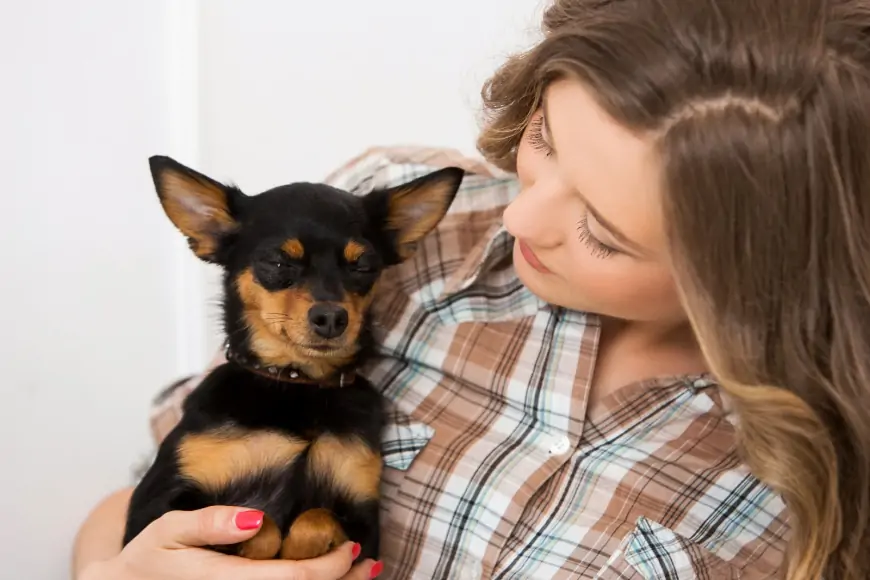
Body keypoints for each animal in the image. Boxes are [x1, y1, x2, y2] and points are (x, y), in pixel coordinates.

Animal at [123, 155, 466, 560]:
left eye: (364, 267)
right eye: (277, 263)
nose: (331, 317)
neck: (297, 381)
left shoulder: (364, 523)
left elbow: (315, 517)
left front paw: (297, 549)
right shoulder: (157, 510)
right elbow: (260, 523)